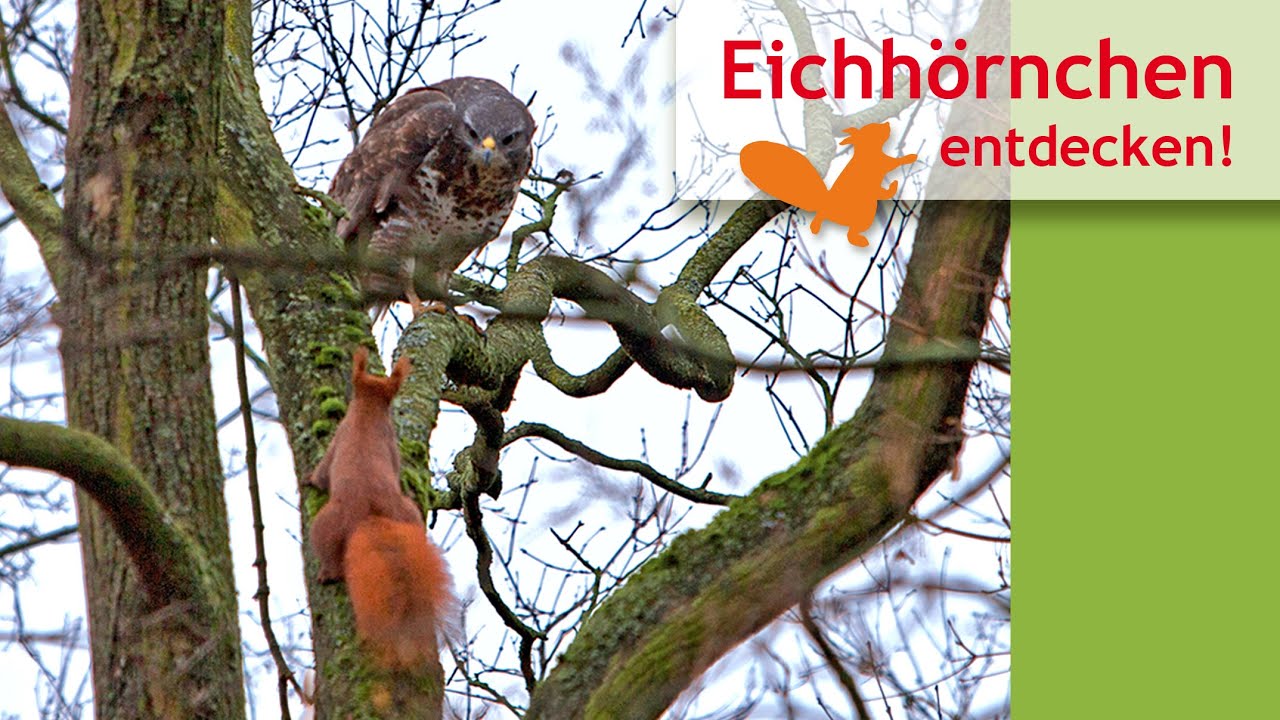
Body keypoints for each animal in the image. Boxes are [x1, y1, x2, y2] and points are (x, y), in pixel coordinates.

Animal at [306, 347, 454, 671]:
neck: (368, 412)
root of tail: (369, 512)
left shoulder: (337, 440)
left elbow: (321, 475)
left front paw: (308, 479)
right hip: (407, 512)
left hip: (326, 522)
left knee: (327, 548)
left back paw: (326, 572)